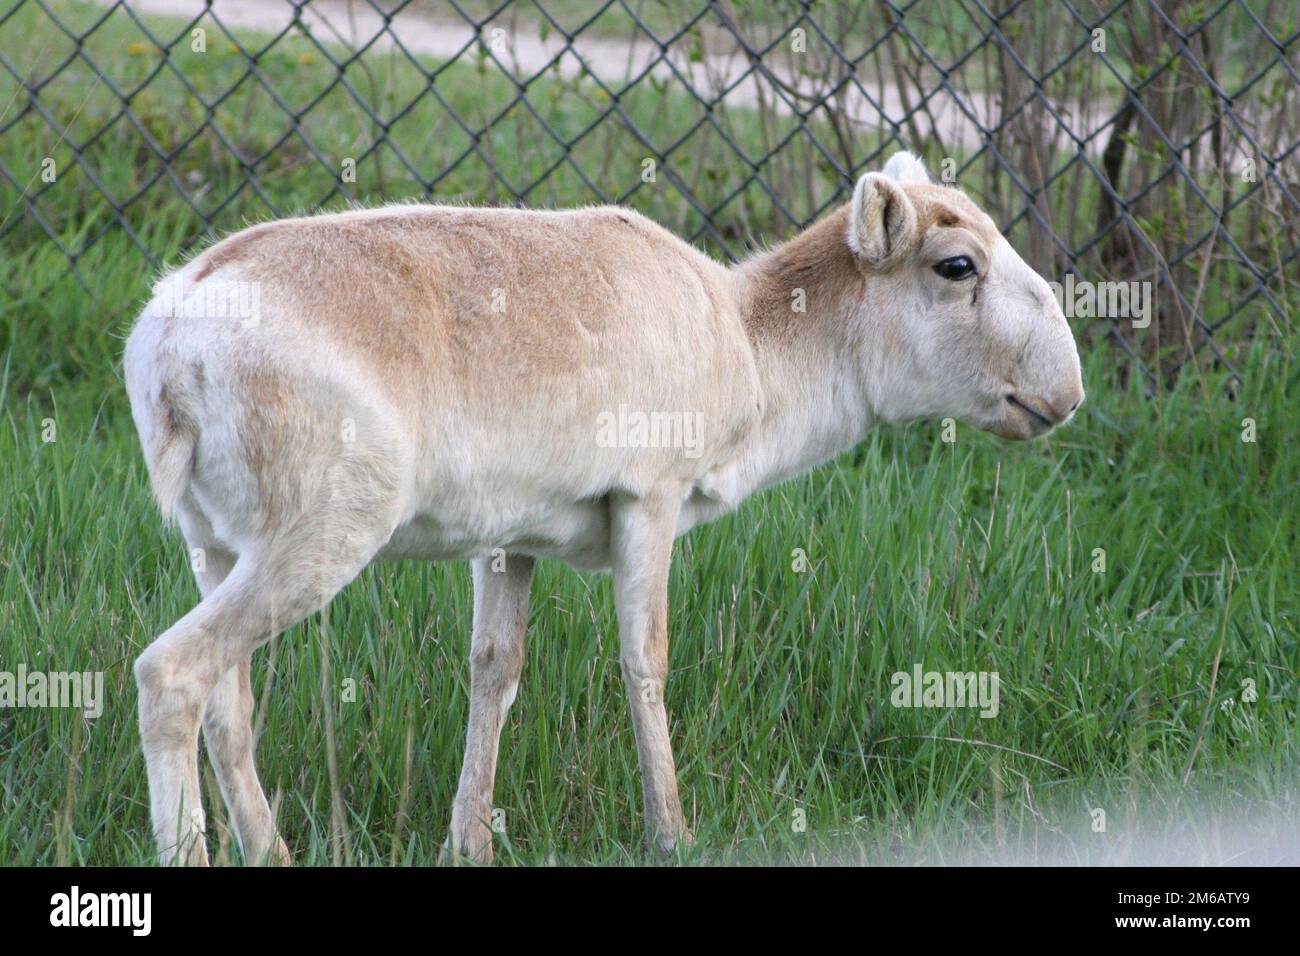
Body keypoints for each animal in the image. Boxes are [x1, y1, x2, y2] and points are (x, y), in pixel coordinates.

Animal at [126, 151, 1081, 868]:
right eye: (957, 264)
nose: (1066, 392)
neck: (749, 343)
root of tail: (165, 345)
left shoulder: (509, 539)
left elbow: (495, 670)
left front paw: (468, 842)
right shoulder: (648, 496)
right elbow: (644, 659)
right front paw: (673, 834)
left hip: (216, 545)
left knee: (229, 704)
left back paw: (275, 852)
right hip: (323, 532)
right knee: (170, 673)